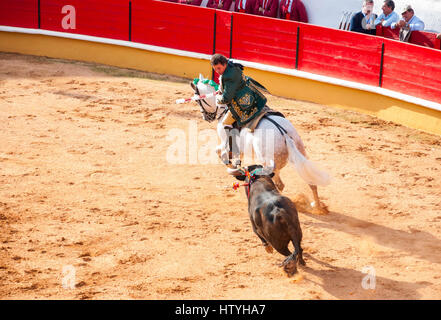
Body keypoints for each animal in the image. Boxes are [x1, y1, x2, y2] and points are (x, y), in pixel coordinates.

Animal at [189, 75, 330, 212]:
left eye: (197, 100)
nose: (206, 117)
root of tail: (283, 133)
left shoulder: (226, 143)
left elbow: (220, 153)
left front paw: (232, 166)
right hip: (300, 155)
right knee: (310, 182)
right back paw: (317, 206)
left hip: (268, 163)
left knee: (279, 184)